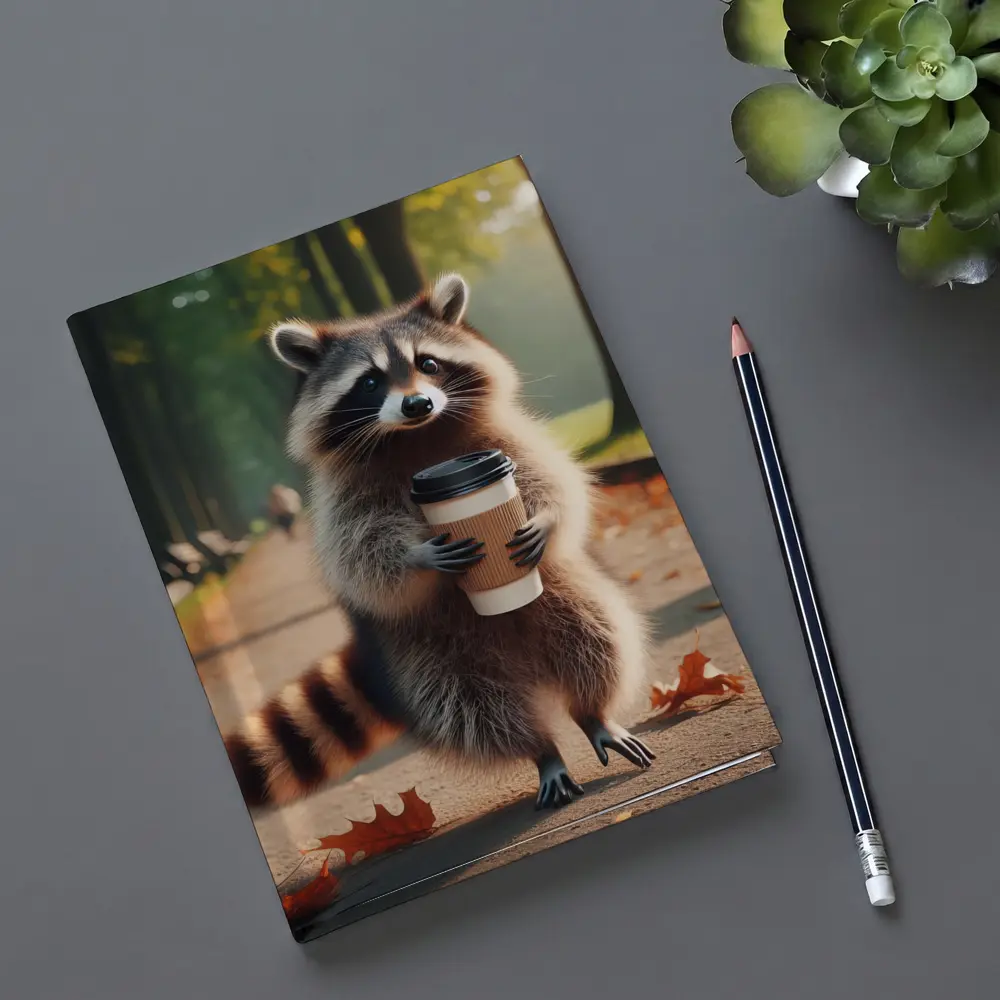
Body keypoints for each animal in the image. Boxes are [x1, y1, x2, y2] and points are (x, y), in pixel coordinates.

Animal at [224, 273, 653, 811]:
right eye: (370, 381)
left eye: (427, 364)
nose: (418, 404)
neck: (418, 436)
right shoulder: (343, 495)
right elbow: (361, 552)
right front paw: (417, 556)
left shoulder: (504, 440)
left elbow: (552, 479)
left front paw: (548, 519)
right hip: (428, 648)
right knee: (470, 706)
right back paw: (541, 748)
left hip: (561, 593)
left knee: (596, 635)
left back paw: (593, 712)